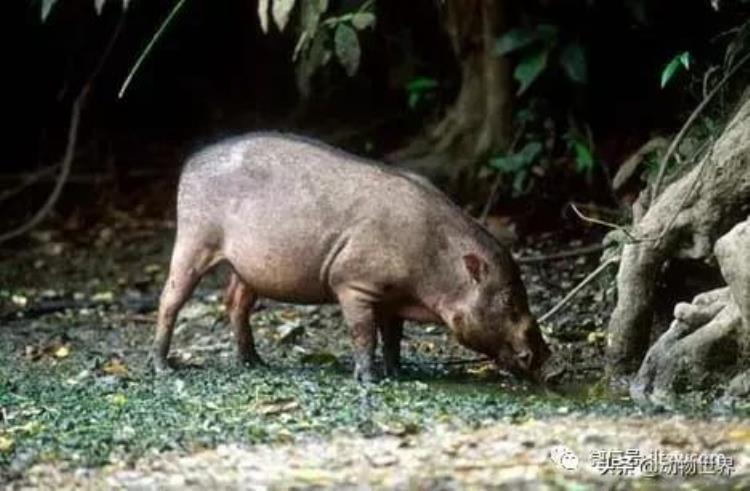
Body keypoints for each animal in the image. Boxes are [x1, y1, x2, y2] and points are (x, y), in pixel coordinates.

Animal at [154, 133, 552, 382]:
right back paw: (164, 366)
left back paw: (255, 363)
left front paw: (399, 373)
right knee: (171, 298)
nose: (548, 359)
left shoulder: (395, 296)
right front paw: (369, 379)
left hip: (247, 266)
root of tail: (191, 163)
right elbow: (364, 333)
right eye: (510, 301)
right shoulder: (353, 282)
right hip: (194, 237)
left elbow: (394, 336)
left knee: (235, 301)